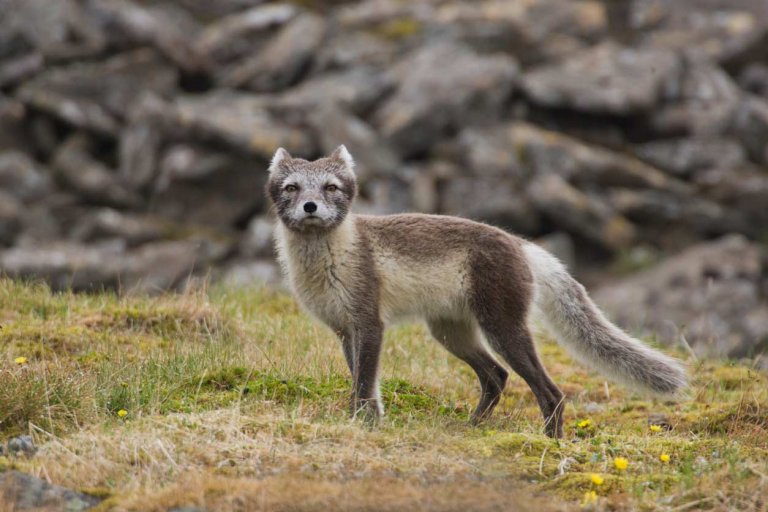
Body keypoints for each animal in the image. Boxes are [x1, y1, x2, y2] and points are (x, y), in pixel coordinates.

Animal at [268, 146, 688, 438]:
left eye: (331, 187)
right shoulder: (344, 330)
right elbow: (359, 379)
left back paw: (550, 441)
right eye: (291, 188)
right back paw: (473, 426)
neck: (330, 258)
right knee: (496, 376)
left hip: (502, 328)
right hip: (451, 332)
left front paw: (365, 422)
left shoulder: (370, 323)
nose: (310, 206)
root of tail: (522, 245)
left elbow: (365, 383)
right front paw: (362, 420)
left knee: (550, 391)